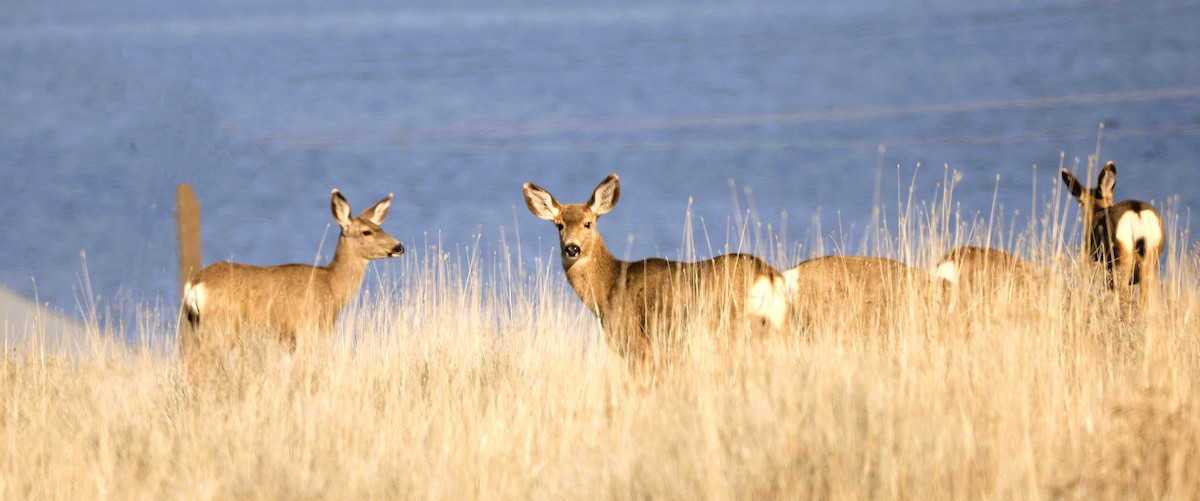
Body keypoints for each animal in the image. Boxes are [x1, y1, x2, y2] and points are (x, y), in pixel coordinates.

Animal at [178, 186, 404, 364]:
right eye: (367, 231)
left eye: (380, 227)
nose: (399, 246)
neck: (332, 287)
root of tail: (195, 284)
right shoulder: (309, 328)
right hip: (220, 328)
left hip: (196, 327)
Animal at [522, 173, 789, 371]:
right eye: (559, 225)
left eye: (588, 223)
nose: (572, 248)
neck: (608, 288)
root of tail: (771, 276)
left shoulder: (636, 344)